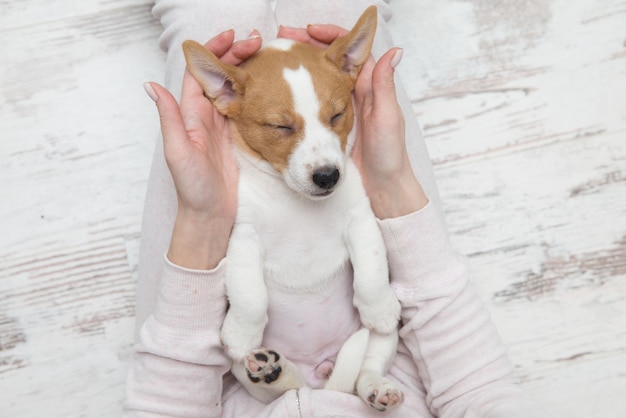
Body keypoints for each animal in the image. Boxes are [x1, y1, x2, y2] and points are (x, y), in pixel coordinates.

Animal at [183, 5, 402, 412]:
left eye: (337, 116)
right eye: (280, 127)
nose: (327, 176)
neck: (295, 200)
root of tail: (319, 372)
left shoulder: (360, 219)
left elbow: (371, 272)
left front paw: (378, 307)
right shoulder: (243, 237)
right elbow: (251, 296)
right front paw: (243, 331)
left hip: (383, 342)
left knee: (364, 371)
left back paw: (377, 387)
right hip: (242, 372)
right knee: (283, 390)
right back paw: (272, 369)